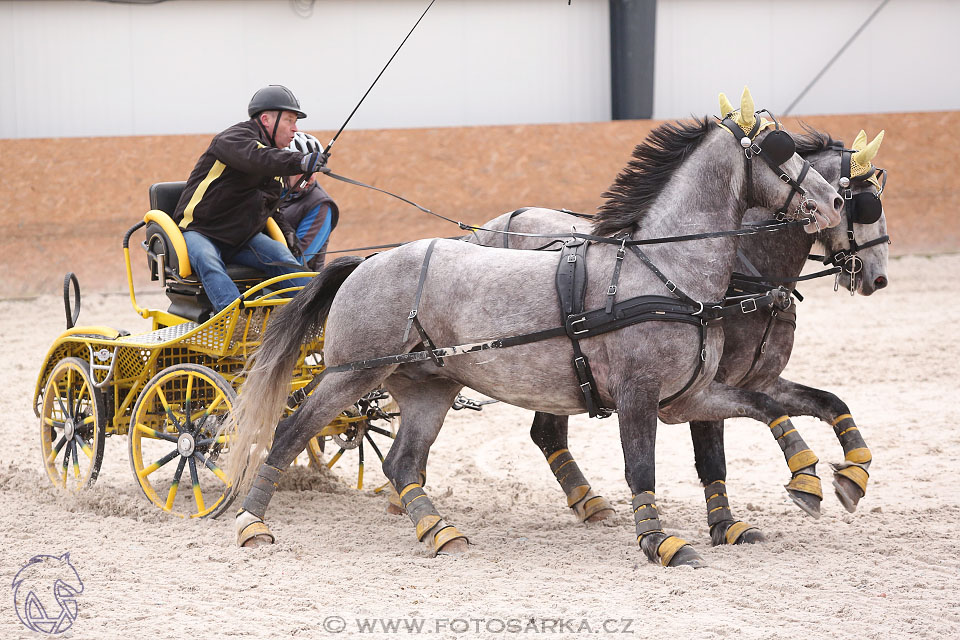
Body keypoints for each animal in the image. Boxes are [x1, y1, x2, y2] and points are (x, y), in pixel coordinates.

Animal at [229, 97, 844, 568]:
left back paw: (440, 532)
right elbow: (640, 466)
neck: (666, 272)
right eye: (780, 150)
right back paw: (251, 523)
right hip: (348, 376)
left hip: (428, 386)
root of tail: (368, 262)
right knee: (289, 434)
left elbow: (767, 407)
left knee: (402, 462)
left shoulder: (687, 397)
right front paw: (660, 542)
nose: (834, 201)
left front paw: (815, 480)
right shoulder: (638, 395)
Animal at [468, 125, 888, 544]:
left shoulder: (757, 381)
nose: (878, 277)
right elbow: (713, 456)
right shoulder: (703, 385)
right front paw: (726, 524)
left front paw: (853, 475)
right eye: (865, 204)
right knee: (547, 432)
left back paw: (588, 502)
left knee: (547, 432)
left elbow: (829, 402)